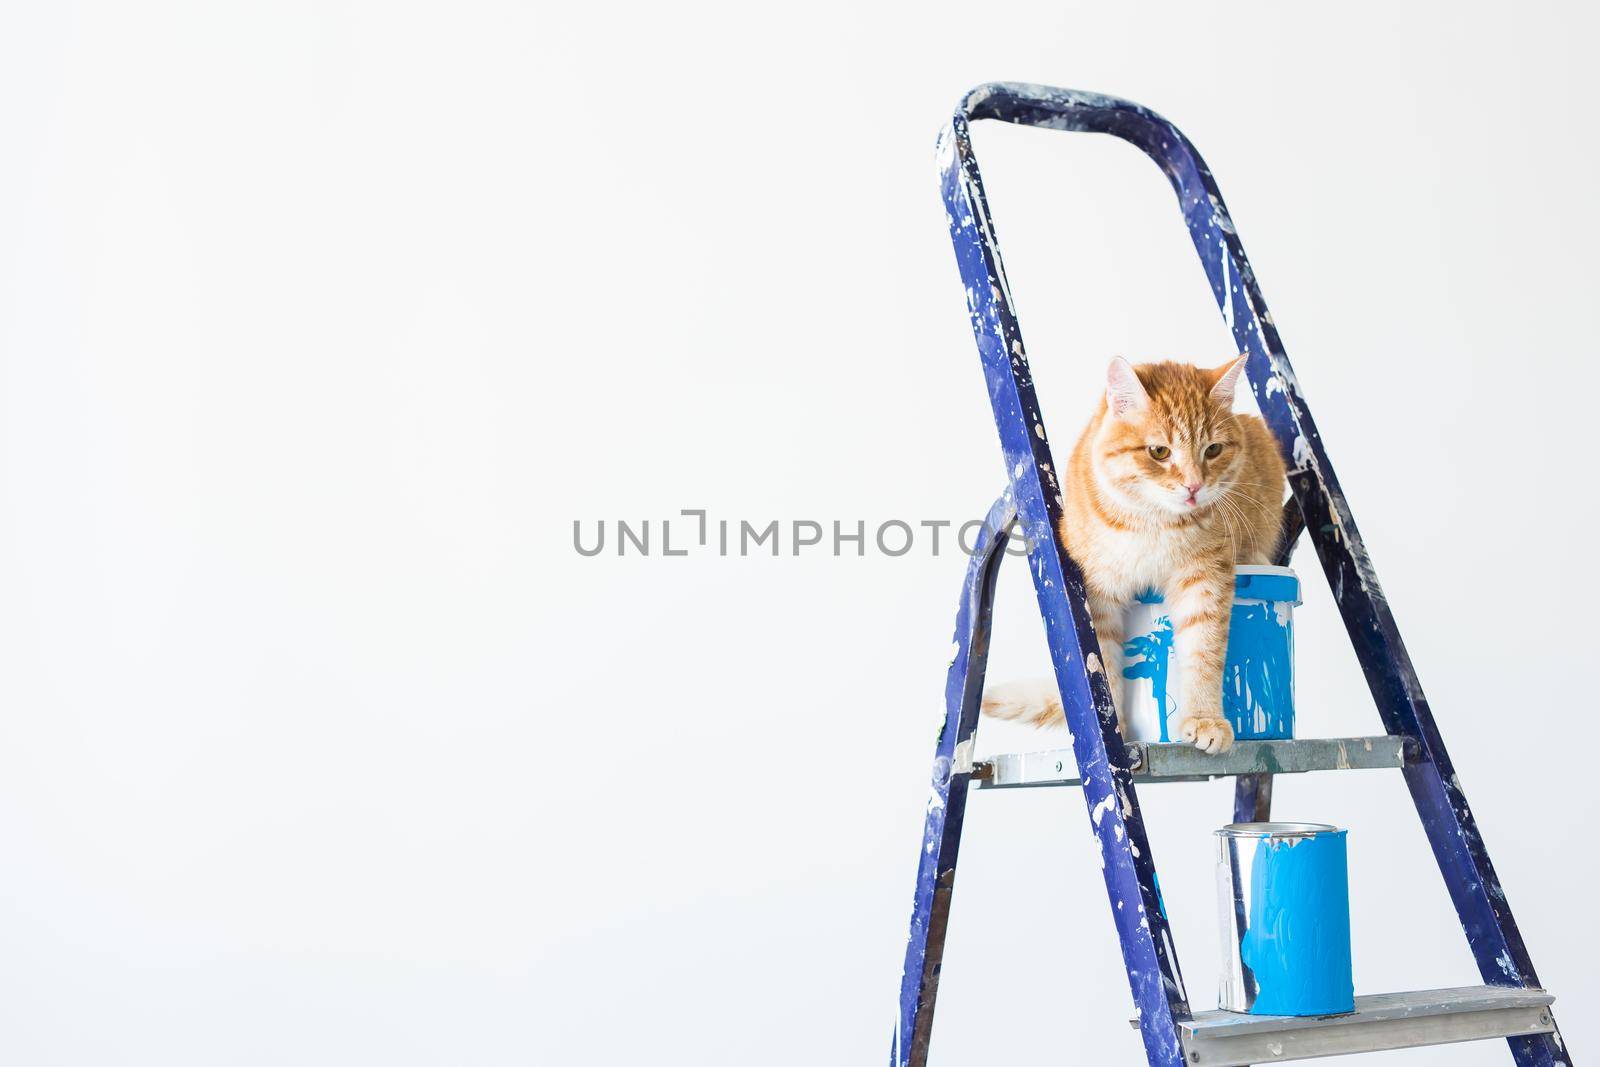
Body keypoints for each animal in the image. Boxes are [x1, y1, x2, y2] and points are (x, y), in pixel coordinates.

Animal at [972, 355, 1286, 755]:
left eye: (1213, 450)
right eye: (1159, 452)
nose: (1194, 486)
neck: (1153, 522)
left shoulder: (1204, 579)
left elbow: (1203, 650)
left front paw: (1204, 718)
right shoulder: (1096, 593)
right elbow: (1103, 665)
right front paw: (1114, 727)